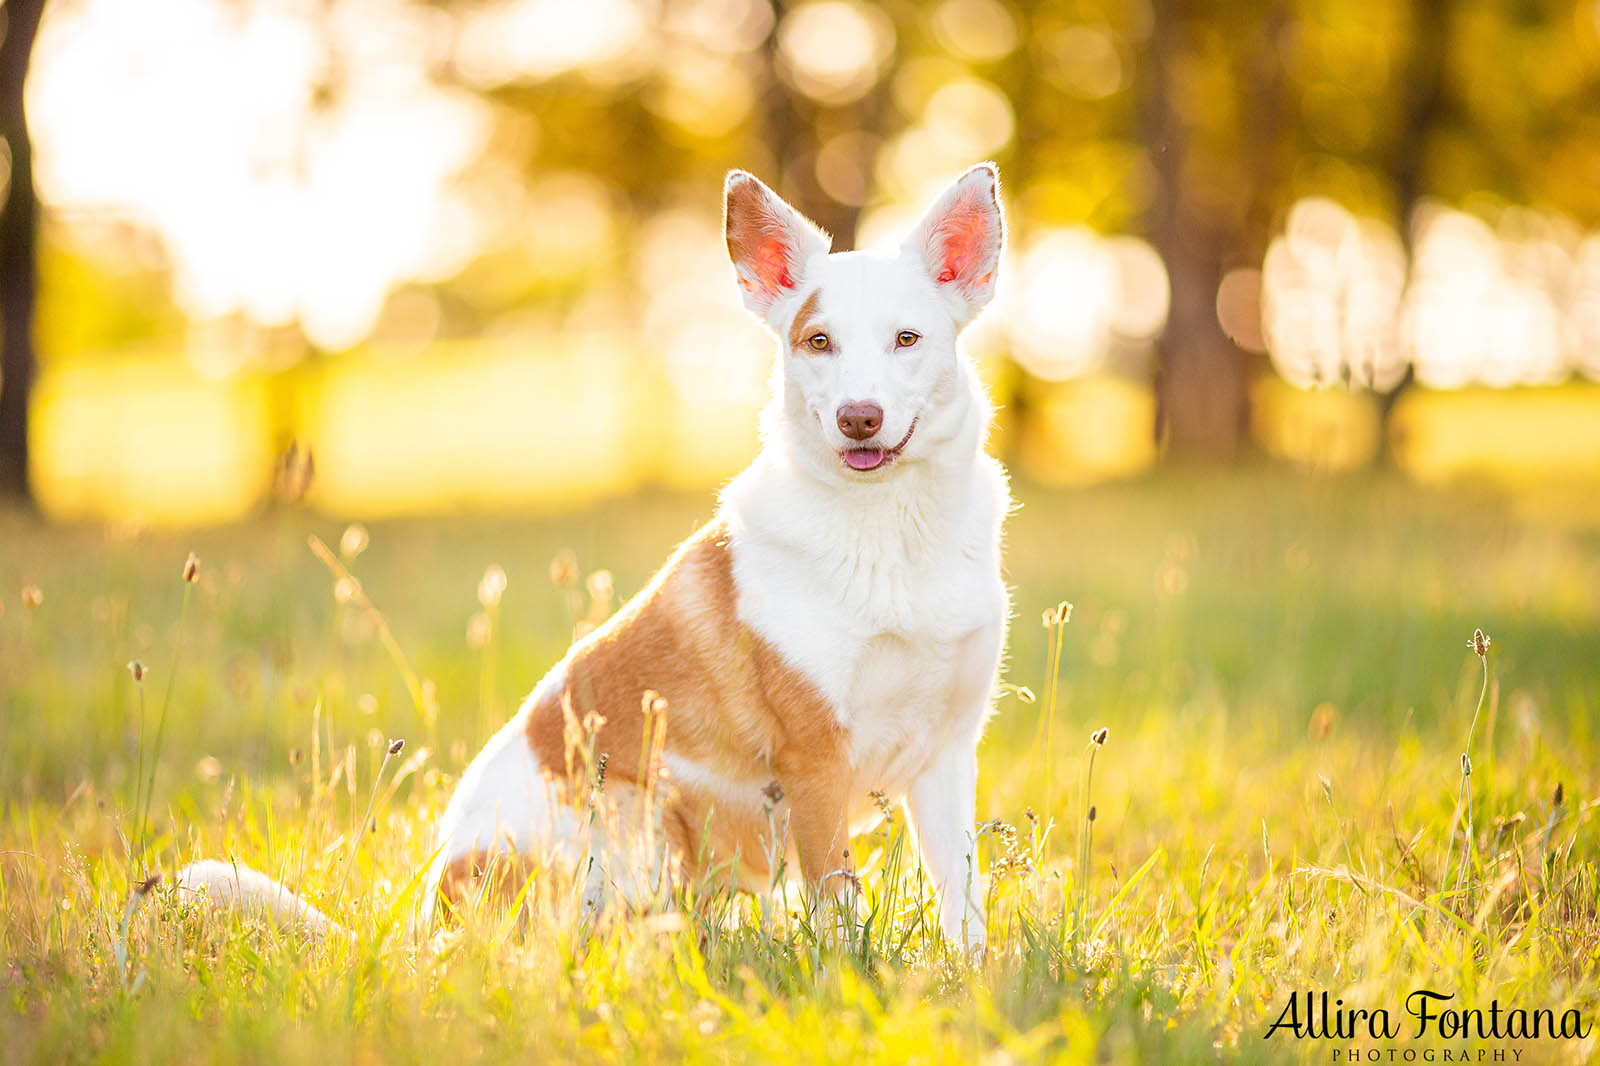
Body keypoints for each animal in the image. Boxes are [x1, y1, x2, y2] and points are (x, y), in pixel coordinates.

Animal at [181, 164, 1004, 947]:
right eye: (818, 342)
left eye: (907, 339)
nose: (858, 418)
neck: (890, 530)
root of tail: (422, 922)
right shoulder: (813, 761)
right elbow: (837, 903)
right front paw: (850, 970)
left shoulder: (948, 756)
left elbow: (962, 899)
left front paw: (970, 977)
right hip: (638, 815)